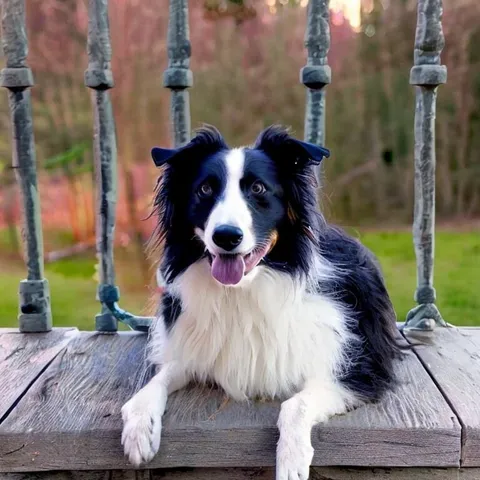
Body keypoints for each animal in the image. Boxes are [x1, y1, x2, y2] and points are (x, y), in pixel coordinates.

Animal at [120, 125, 402, 478]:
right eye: (205, 189)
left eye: (258, 188)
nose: (226, 236)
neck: (243, 291)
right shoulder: (192, 350)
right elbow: (152, 384)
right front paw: (138, 428)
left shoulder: (357, 371)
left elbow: (295, 405)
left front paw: (291, 461)